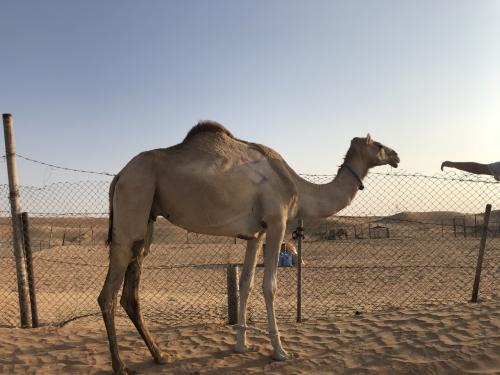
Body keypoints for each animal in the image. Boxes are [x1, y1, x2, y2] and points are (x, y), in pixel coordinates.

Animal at [99, 122, 400, 374]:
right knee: (108, 293)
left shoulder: (256, 233)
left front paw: (241, 344)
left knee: (132, 285)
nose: (396, 155)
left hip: (147, 215)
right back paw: (120, 365)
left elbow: (245, 283)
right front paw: (280, 351)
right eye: (378, 144)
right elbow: (269, 286)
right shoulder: (277, 222)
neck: (297, 189)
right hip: (135, 195)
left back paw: (160, 355)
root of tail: (119, 175)